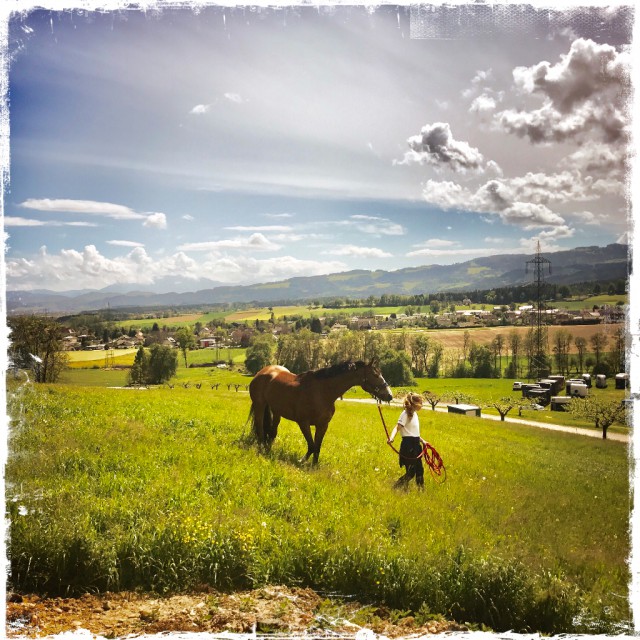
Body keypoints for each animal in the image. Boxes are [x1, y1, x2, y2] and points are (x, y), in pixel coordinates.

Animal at [248, 360, 392, 464]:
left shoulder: (323, 425)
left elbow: (317, 447)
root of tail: (262, 372)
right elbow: (312, 445)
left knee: (272, 432)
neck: (322, 392)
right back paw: (261, 447)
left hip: (276, 411)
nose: (389, 395)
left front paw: (314, 465)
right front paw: (302, 460)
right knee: (260, 429)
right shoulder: (303, 423)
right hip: (260, 406)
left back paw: (268, 449)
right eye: (375, 375)